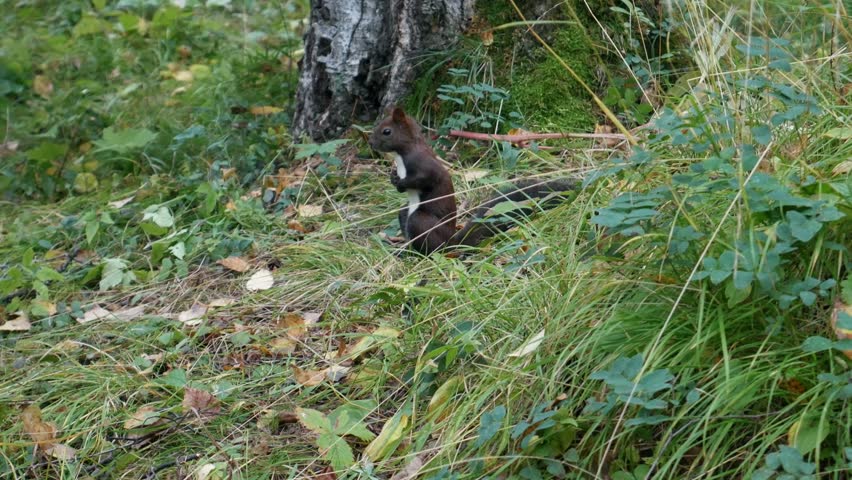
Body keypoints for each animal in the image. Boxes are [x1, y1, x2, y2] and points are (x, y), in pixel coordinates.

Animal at [369, 106, 579, 255]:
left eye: (386, 131)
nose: (371, 143)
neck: (402, 154)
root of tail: (452, 243)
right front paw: (394, 177)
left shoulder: (423, 164)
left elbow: (426, 179)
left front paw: (401, 183)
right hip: (407, 214)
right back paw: (405, 250)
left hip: (420, 221)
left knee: (433, 248)